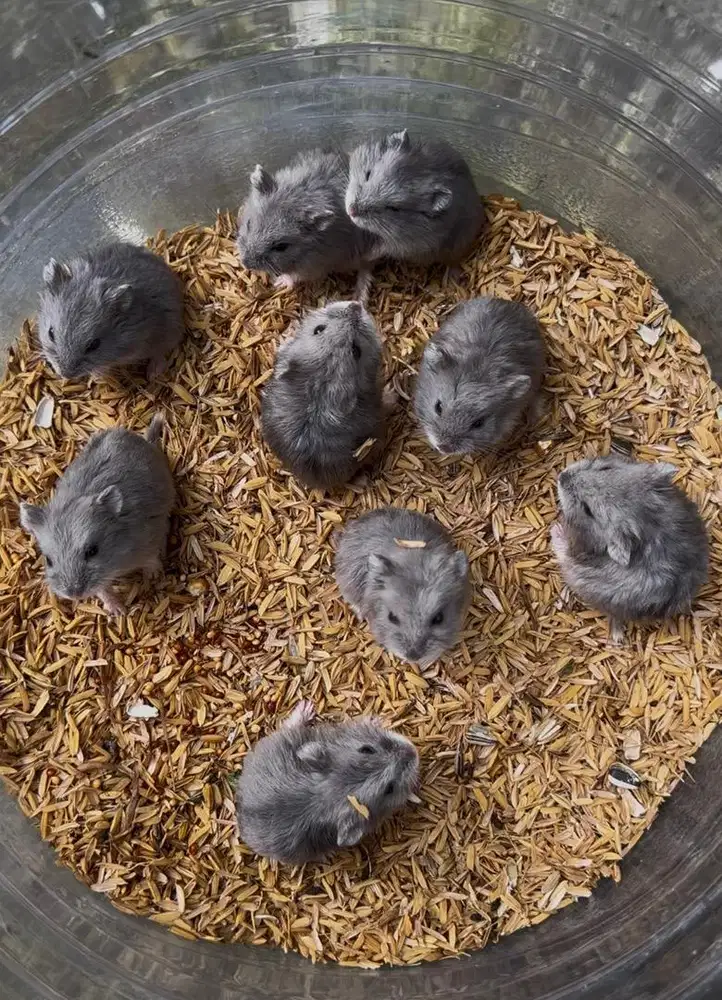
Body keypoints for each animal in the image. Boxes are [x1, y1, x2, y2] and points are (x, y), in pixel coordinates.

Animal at [19, 414, 175, 615]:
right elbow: (102, 590)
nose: (74, 594)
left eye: (92, 551)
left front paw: (154, 577)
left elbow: (151, 559)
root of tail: (144, 440)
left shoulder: (149, 539)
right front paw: (118, 611)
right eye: (48, 560)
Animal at [37, 242, 185, 380]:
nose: (65, 376)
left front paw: (96, 377)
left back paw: (153, 374)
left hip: (169, 331)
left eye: (94, 345)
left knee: (160, 353)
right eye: (51, 333)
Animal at [236, 150, 378, 294]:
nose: (245, 263)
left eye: (281, 246)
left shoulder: (313, 266)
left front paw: (280, 282)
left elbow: (294, 276)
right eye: (249, 224)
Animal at [236, 700, 420, 865]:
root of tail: (240, 811)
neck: (325, 794)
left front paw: (375, 719)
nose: (413, 750)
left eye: (366, 749)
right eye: (389, 789)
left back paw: (307, 707)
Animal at [345, 128, 485, 267]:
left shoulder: (406, 246)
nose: (351, 212)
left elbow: (382, 248)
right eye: (368, 174)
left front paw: (364, 255)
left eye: (394, 208)